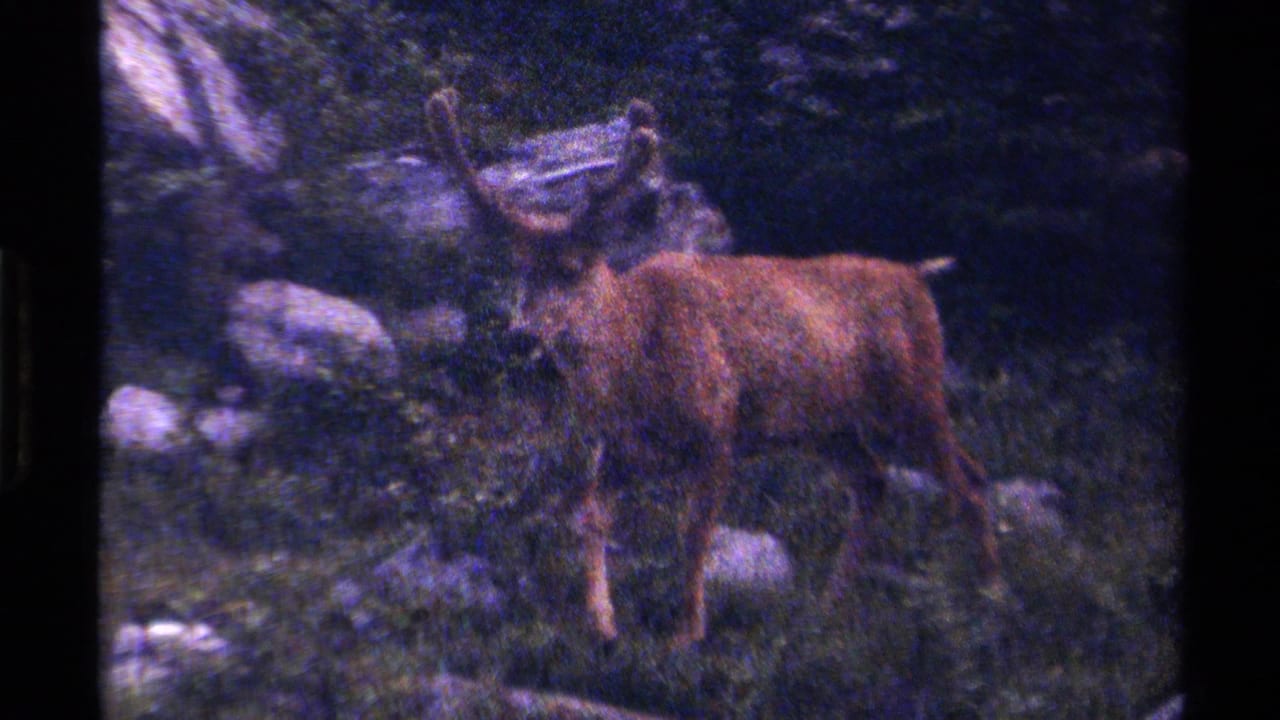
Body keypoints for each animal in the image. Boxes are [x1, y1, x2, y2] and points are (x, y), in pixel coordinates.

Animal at [426, 89, 1002, 648]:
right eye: (521, 271)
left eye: (572, 269)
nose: (521, 335)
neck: (635, 355)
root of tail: (919, 276)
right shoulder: (619, 449)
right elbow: (592, 516)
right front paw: (603, 625)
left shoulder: (718, 426)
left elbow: (695, 532)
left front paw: (688, 634)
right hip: (829, 427)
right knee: (882, 481)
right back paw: (830, 607)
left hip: (913, 393)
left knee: (967, 483)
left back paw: (989, 599)